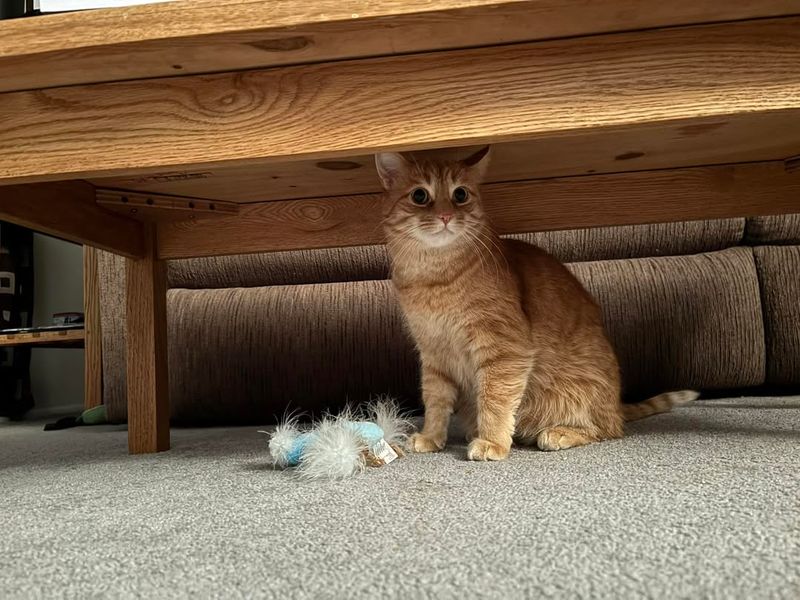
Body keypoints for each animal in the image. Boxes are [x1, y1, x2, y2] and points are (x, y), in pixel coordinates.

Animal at [378, 148, 696, 462]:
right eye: (420, 195)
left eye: (460, 194)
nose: (445, 215)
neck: (433, 278)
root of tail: (617, 405)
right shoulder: (433, 355)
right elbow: (435, 401)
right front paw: (431, 437)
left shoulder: (505, 350)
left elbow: (494, 399)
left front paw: (492, 441)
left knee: (607, 430)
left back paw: (558, 433)